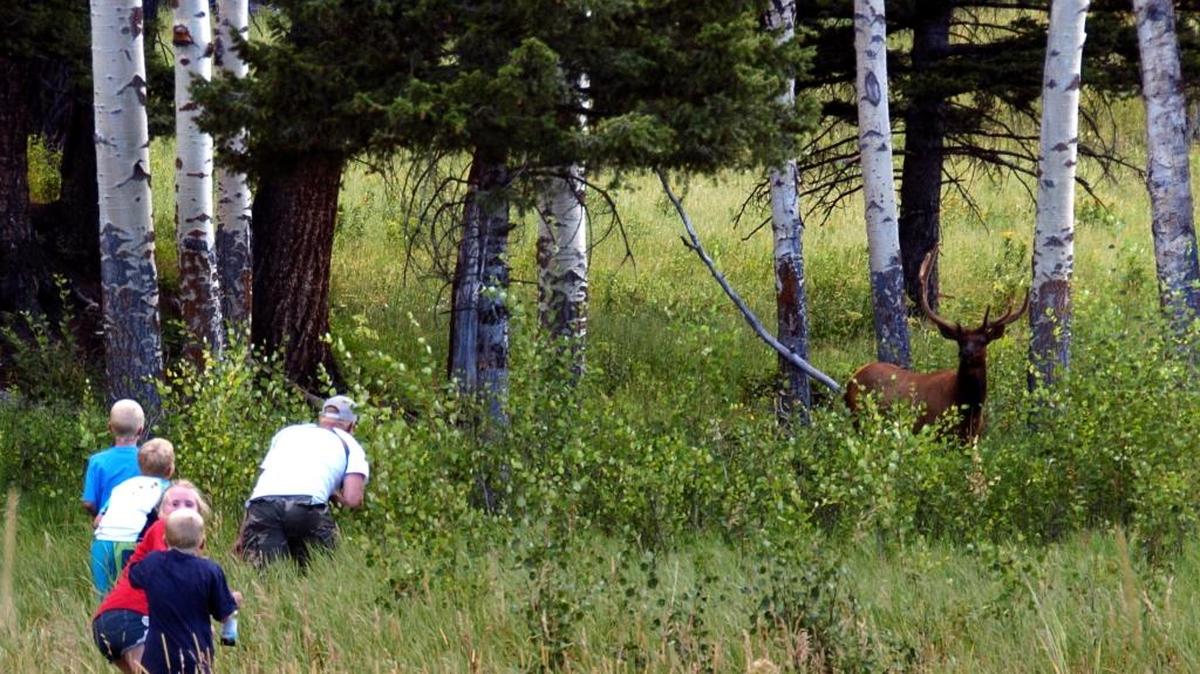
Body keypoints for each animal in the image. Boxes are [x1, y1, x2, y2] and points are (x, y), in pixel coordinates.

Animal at [844, 248, 1029, 443]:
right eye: (960, 341)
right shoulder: (934, 432)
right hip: (860, 419)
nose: (967, 353)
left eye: (983, 341)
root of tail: (851, 380)